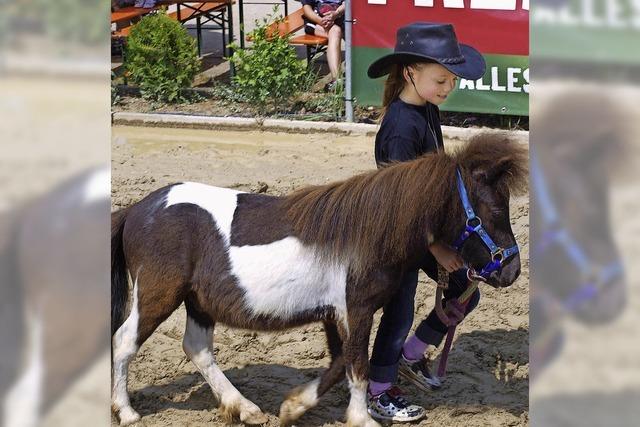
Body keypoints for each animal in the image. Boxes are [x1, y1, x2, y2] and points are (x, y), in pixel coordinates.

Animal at [112, 135, 528, 427]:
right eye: (493, 209)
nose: (511, 271)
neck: (366, 233)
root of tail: (137, 209)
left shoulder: (335, 312)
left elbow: (341, 361)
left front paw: (294, 407)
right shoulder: (356, 309)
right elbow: (358, 364)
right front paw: (361, 418)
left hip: (198, 301)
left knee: (197, 348)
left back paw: (246, 409)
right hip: (159, 295)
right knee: (125, 341)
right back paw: (127, 411)